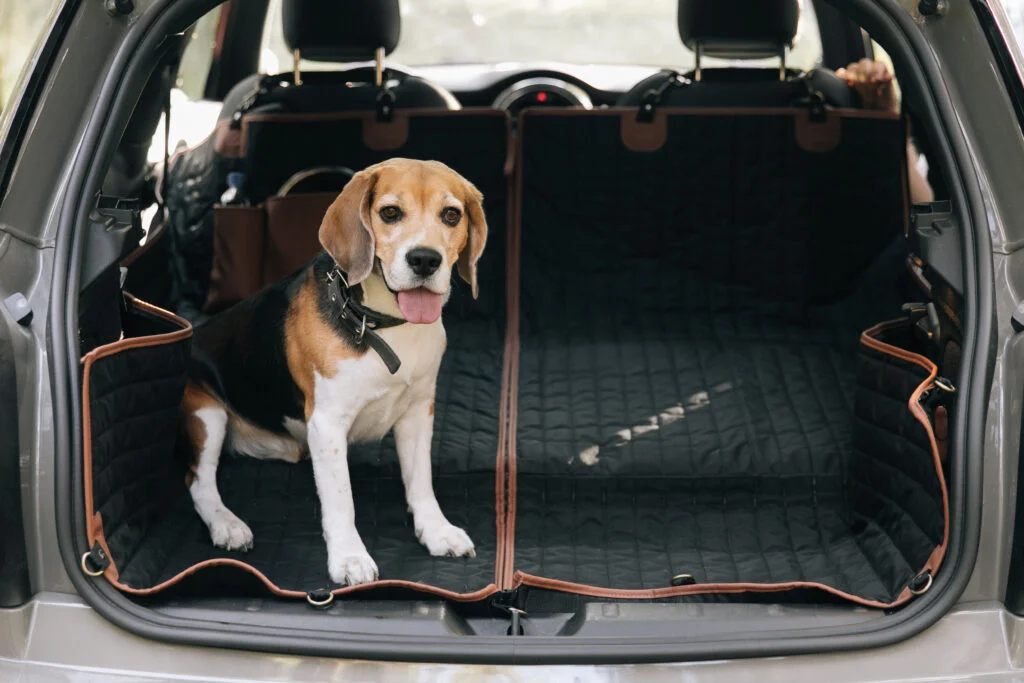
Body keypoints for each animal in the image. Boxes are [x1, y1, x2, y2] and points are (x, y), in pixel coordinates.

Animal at [179, 157, 487, 585]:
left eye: (451, 215)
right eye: (390, 213)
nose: (425, 259)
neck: (382, 323)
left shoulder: (418, 410)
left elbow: (420, 480)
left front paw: (436, 530)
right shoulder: (327, 423)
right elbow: (342, 500)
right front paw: (349, 557)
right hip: (206, 413)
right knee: (198, 481)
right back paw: (227, 524)